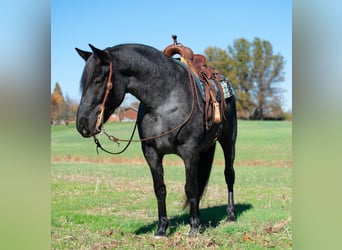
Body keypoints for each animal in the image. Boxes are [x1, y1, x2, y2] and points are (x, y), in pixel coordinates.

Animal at [75, 43, 236, 238]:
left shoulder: (189, 152)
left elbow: (190, 188)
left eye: (98, 81)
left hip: (228, 142)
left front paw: (193, 228)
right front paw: (161, 229)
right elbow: (160, 189)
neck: (165, 101)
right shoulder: (152, 153)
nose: (82, 124)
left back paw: (230, 215)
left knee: (229, 175)